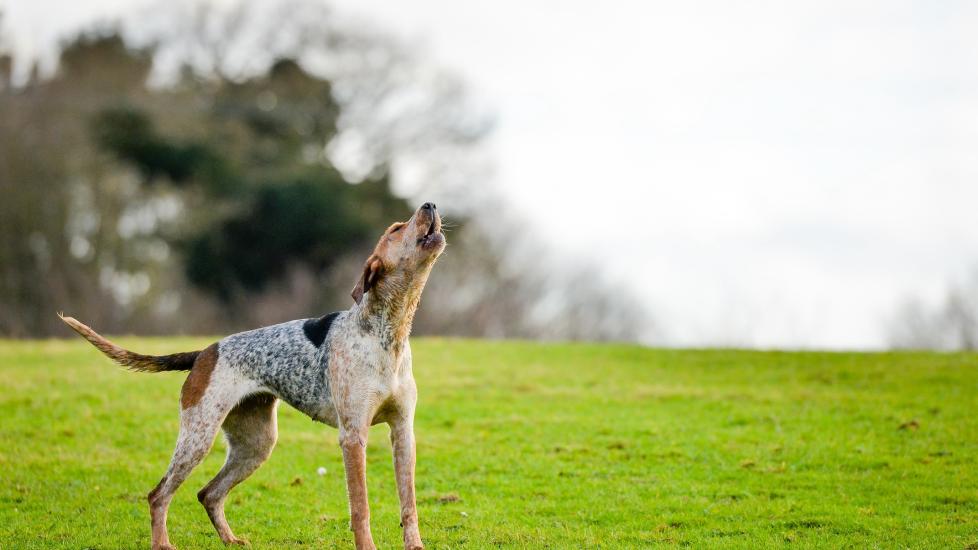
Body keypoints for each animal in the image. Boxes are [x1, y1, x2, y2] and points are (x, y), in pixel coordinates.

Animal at [58, 203, 446, 550]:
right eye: (396, 229)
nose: (429, 204)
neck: (388, 332)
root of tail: (203, 353)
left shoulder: (403, 433)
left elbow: (409, 504)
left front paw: (415, 546)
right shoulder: (353, 437)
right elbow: (360, 508)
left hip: (255, 444)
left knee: (208, 493)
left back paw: (230, 540)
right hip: (198, 437)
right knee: (159, 495)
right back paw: (162, 544)